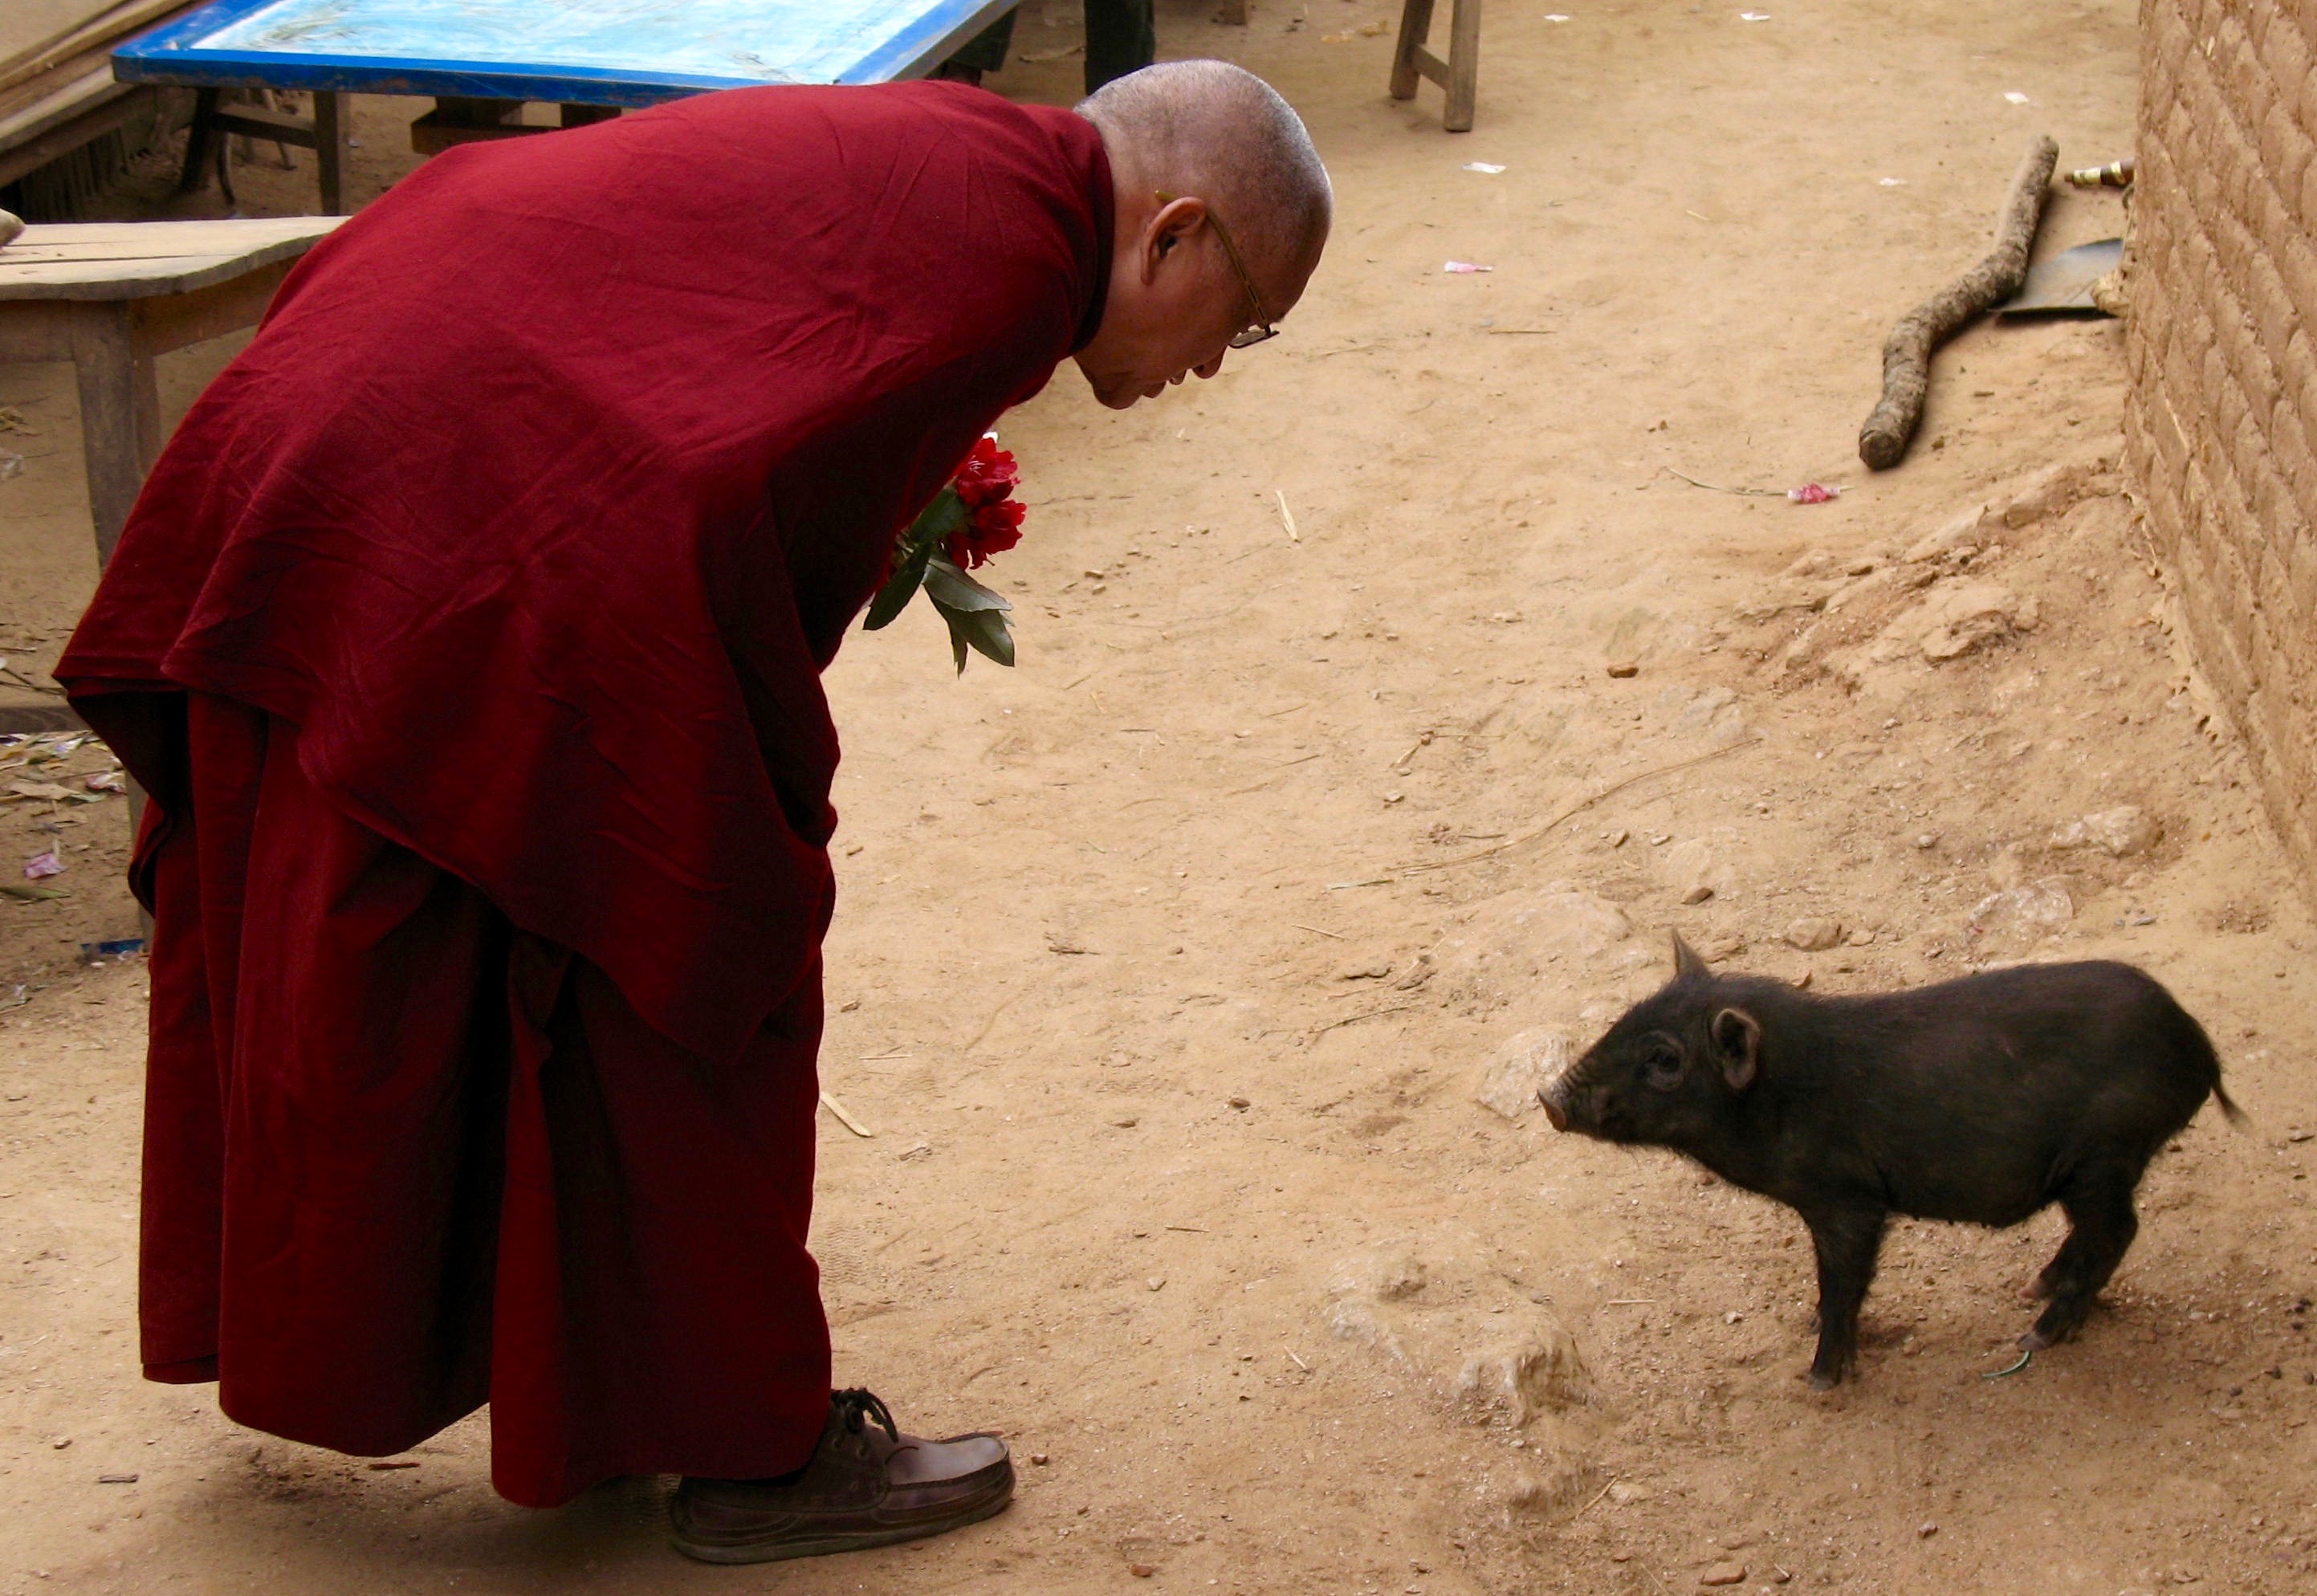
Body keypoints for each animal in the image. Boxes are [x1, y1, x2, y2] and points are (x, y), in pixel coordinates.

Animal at [1539, 934, 2243, 1388]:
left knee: (2118, 1231)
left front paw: (1819, 1382)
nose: (1549, 1097)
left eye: (1663, 1059)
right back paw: (2031, 1288)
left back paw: (2035, 1335)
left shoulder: (1847, 1197)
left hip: (2104, 1153)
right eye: (1623, 1018)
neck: (1785, 1095)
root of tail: (2200, 1046)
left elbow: (1844, 1278)